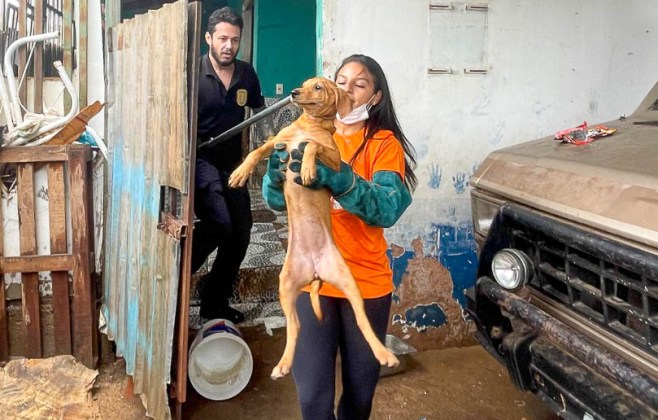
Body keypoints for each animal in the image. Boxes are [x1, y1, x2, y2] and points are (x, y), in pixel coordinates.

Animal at [228, 77, 398, 378]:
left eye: (318, 87)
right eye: (304, 84)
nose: (294, 93)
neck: (309, 125)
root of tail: (316, 272)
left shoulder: (333, 160)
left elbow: (312, 147)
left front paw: (307, 169)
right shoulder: (278, 144)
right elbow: (258, 151)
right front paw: (240, 172)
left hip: (349, 283)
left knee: (361, 320)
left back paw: (385, 354)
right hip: (285, 285)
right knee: (296, 326)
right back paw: (282, 365)